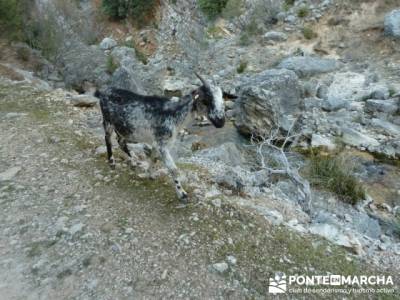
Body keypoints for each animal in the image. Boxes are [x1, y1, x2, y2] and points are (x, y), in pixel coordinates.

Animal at [94, 72, 225, 202]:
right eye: (206, 100)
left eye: (222, 99)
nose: (221, 122)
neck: (175, 114)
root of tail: (103, 92)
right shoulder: (162, 143)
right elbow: (173, 169)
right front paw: (182, 194)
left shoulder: (159, 141)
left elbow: (154, 157)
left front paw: (150, 174)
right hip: (108, 121)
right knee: (108, 139)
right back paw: (112, 162)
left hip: (124, 128)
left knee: (120, 141)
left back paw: (134, 161)